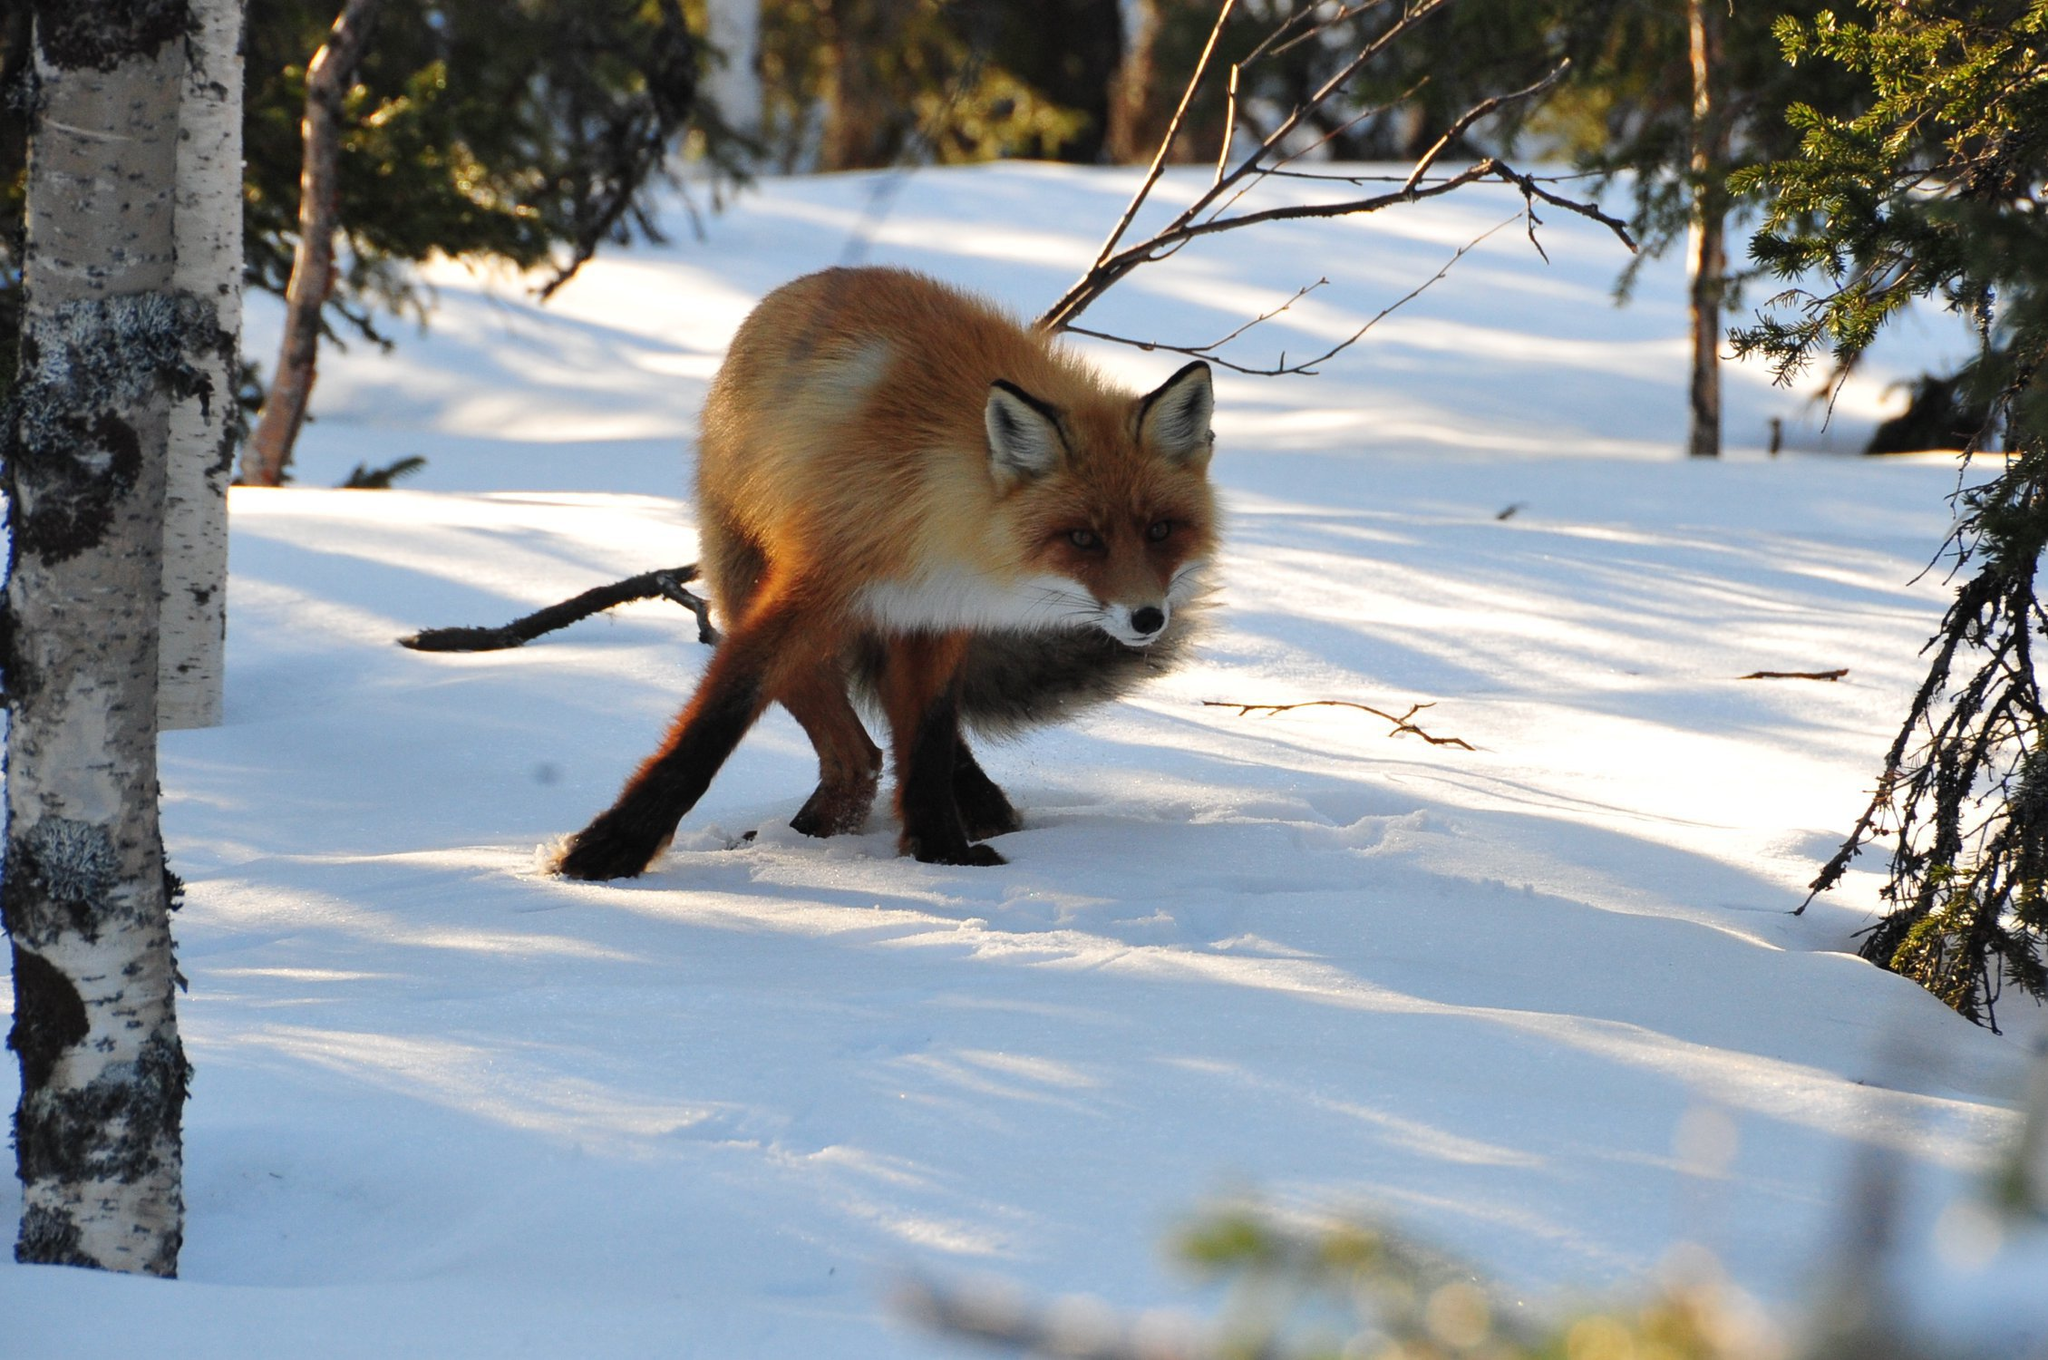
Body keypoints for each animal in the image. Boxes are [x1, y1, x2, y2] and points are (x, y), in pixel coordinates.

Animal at [548, 266, 1212, 880]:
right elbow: (709, 729)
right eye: (1082, 539)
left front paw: (941, 852)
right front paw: (609, 851)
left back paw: (965, 811)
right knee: (855, 757)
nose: (1147, 618)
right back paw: (809, 833)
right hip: (747, 596)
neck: (938, 524)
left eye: (1160, 530)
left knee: (880, 751)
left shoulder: (937, 619)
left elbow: (928, 748)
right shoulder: (809, 594)